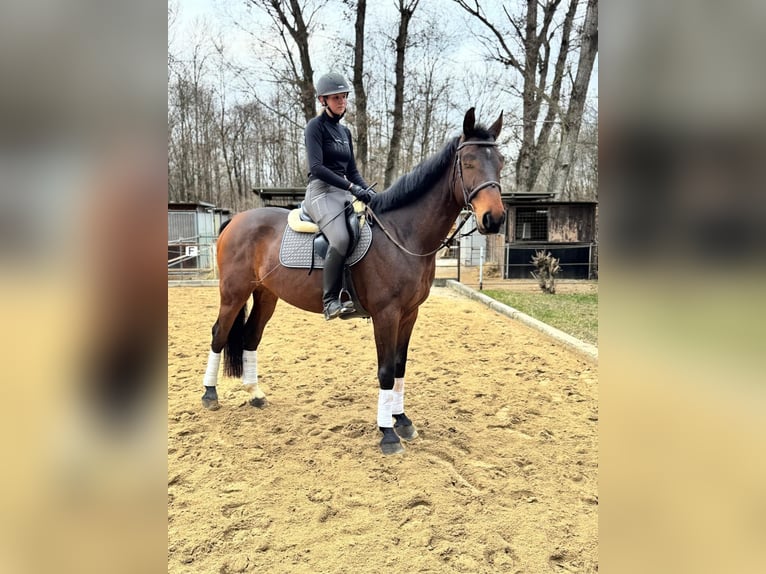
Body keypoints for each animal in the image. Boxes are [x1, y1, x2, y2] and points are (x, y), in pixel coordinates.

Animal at [201, 108, 508, 456]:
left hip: (266, 293)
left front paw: (402, 420)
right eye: (468, 162)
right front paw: (388, 434)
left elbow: (400, 365)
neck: (403, 233)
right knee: (219, 333)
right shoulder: (386, 314)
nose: (494, 219)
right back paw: (210, 394)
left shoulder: (409, 314)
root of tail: (236, 220)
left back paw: (254, 393)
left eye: (500, 162)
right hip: (234, 292)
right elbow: (386, 370)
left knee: (251, 336)